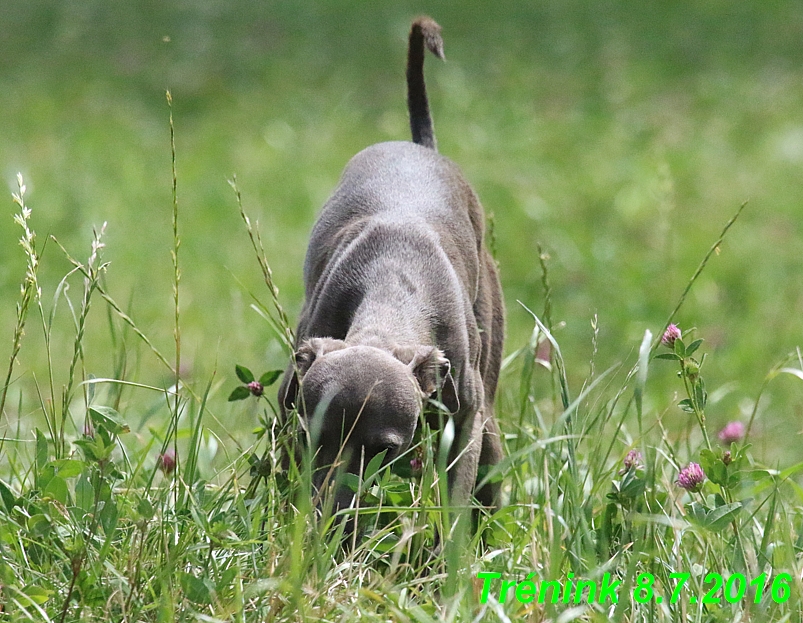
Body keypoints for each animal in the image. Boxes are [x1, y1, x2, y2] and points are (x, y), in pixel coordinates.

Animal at [278, 17, 502, 516]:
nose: (336, 517)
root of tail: (423, 147)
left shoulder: (465, 418)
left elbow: (454, 500)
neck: (393, 285)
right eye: (311, 437)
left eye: (384, 448)